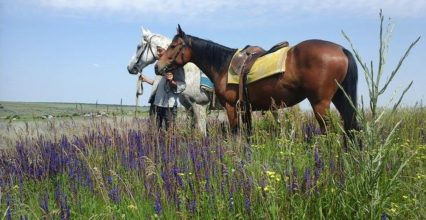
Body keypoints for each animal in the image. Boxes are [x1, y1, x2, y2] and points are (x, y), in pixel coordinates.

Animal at [155, 25, 358, 136]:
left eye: (173, 45)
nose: (158, 67)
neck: (223, 65)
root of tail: (341, 49)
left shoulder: (230, 106)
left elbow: (235, 132)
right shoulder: (246, 108)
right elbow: (247, 133)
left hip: (320, 103)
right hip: (339, 98)